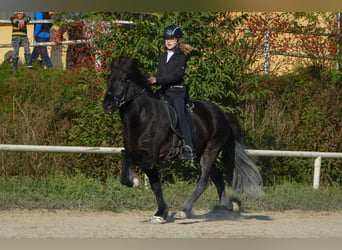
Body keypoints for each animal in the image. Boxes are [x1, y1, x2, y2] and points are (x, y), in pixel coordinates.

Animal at [101, 55, 262, 224]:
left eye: (123, 80)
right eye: (108, 79)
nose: (107, 105)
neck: (143, 116)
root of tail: (223, 113)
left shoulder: (149, 156)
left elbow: (125, 156)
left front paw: (134, 181)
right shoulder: (148, 160)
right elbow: (155, 184)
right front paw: (160, 213)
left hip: (212, 149)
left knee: (204, 180)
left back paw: (184, 210)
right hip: (201, 152)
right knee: (216, 176)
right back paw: (229, 205)